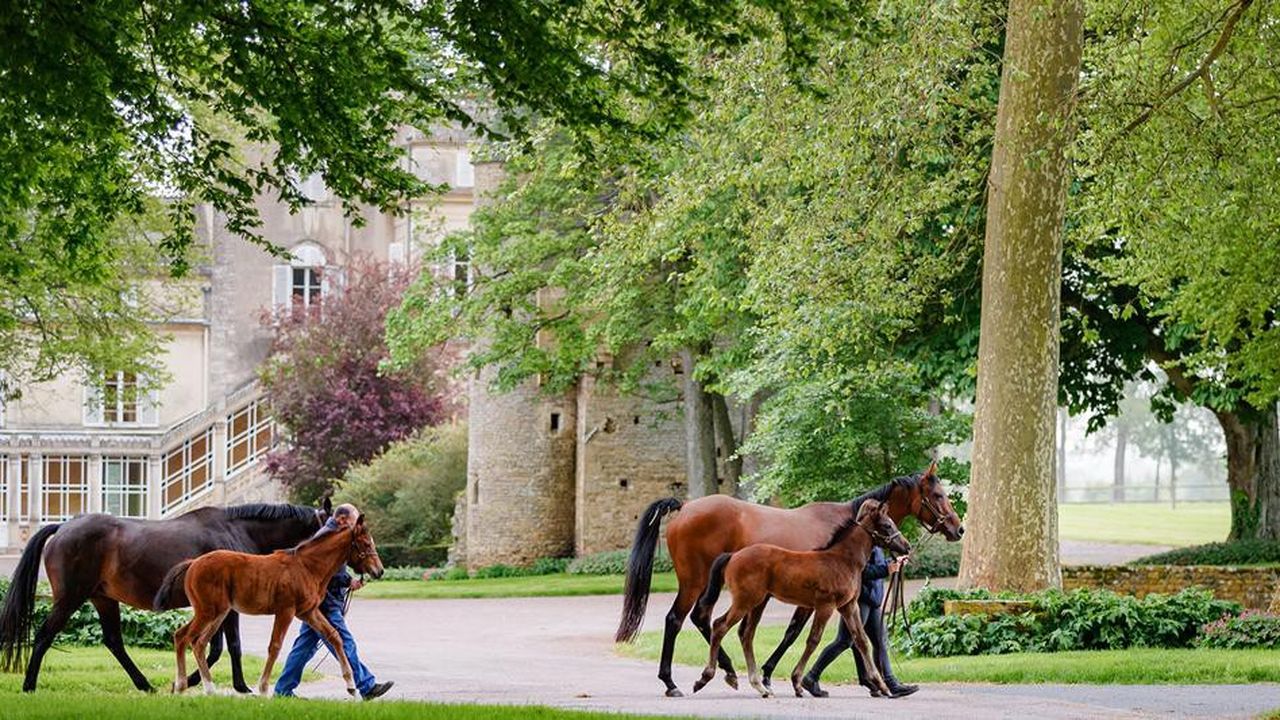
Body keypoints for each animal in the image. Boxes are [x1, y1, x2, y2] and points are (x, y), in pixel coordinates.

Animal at [1, 499, 330, 691]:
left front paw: (191, 680)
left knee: (113, 641)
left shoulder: (217, 608)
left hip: (103, 598)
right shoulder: (229, 608)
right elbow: (230, 646)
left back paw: (145, 685)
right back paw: (29, 685)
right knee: (44, 635)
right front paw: (238, 687)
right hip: (71, 598)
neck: (237, 531)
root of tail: (63, 527)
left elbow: (214, 648)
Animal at [157, 502, 381, 691]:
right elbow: (275, 646)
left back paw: (207, 688)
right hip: (208, 612)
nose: (379, 571)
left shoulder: (308, 612)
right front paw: (263, 688)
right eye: (366, 544)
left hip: (218, 613)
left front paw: (351, 685)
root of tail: (193, 563)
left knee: (198, 642)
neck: (306, 566)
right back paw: (183, 685)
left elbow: (334, 636)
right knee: (183, 637)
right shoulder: (286, 611)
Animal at [691, 499, 911, 696]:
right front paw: (798, 683)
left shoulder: (849, 606)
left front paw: (881, 685)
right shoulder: (825, 606)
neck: (842, 560)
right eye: (887, 525)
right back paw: (706, 678)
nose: (907, 547)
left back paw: (760, 686)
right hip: (745, 601)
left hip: (757, 604)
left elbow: (861, 639)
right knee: (720, 626)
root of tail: (733, 556)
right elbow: (813, 640)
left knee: (746, 635)